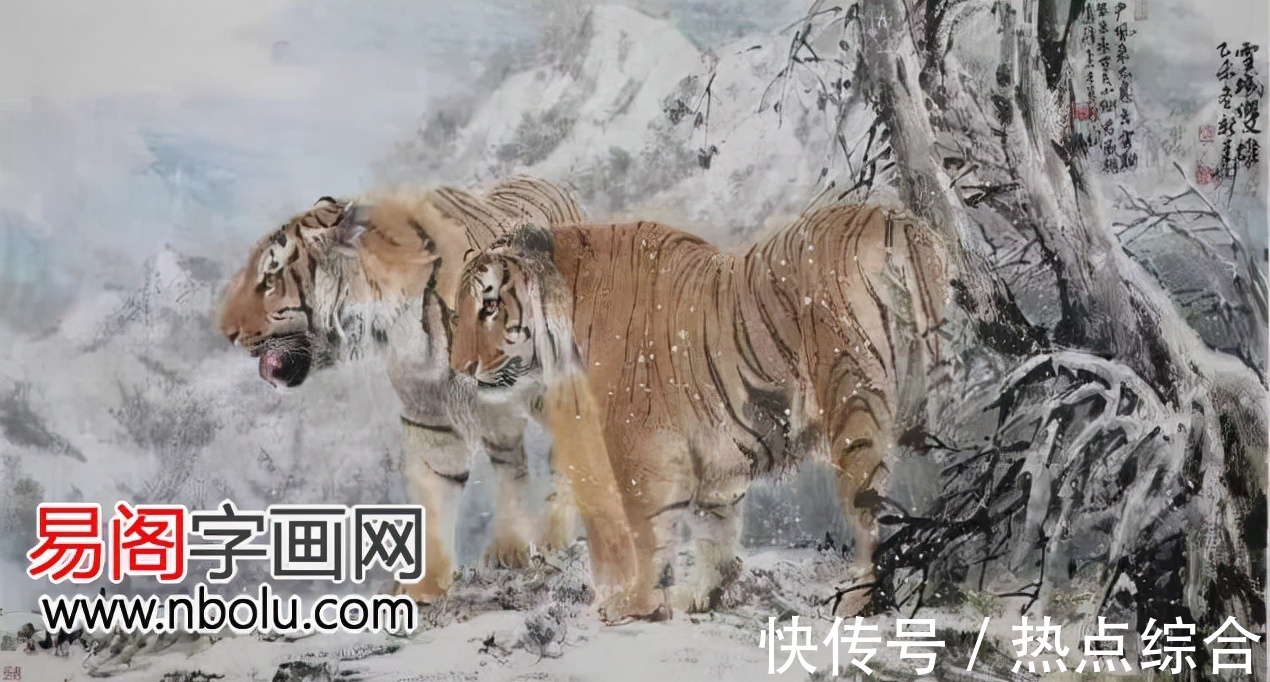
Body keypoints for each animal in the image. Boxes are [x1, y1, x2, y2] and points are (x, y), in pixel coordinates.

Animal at [216, 177, 651, 622]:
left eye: (270, 278)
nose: (225, 332)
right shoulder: (431, 414)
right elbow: (435, 498)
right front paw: (421, 588)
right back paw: (511, 545)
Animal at [447, 201, 949, 617]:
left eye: (490, 306)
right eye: (457, 313)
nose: (459, 368)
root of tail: (887, 215)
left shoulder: (639, 447)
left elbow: (646, 531)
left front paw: (635, 602)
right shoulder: (716, 461)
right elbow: (715, 533)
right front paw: (702, 594)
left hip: (852, 404)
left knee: (873, 517)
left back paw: (859, 599)